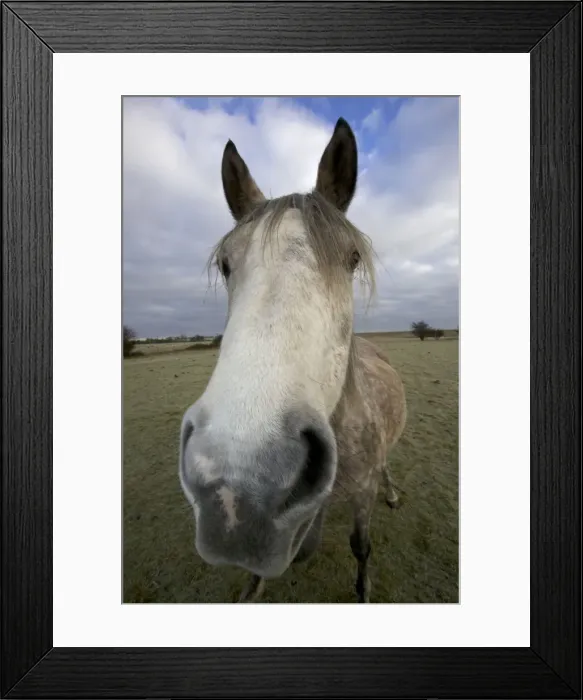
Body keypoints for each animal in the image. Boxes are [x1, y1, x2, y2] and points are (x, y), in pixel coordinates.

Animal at [179, 117, 407, 603]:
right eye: (225, 264)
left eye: (352, 257)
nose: (240, 488)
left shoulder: (363, 493)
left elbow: (361, 546)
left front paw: (364, 589)